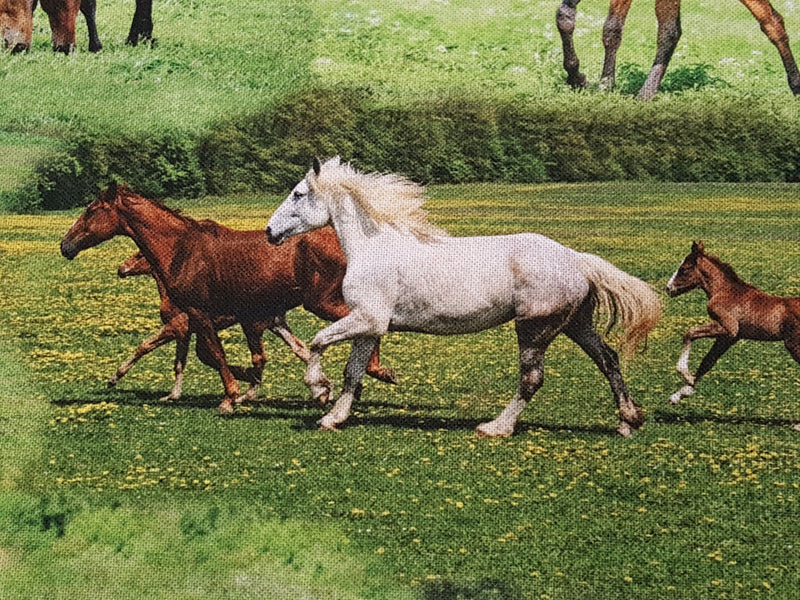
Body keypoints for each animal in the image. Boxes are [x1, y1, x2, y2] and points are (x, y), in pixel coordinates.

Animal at [111, 251, 310, 400]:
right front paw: (173, 394)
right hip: (276, 324)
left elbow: (145, 346)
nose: (121, 269)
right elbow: (189, 360)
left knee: (269, 355)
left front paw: (114, 378)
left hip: (256, 326)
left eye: (139, 255)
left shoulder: (176, 328)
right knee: (301, 349)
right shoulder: (189, 333)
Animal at [266, 157, 660, 438]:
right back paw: (628, 421)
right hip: (575, 324)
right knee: (608, 360)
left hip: (534, 329)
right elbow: (353, 372)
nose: (270, 232)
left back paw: (496, 428)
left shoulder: (367, 318)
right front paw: (333, 417)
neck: (373, 247)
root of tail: (575, 258)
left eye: (298, 194)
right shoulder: (370, 327)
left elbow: (318, 342)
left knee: (532, 379)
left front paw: (319, 390)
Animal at [664, 239, 800, 426]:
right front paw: (680, 394)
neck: (724, 290)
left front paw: (685, 375)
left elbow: (690, 333)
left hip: (793, 345)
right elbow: (708, 361)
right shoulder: (730, 338)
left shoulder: (728, 328)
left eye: (684, 268)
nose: (668, 288)